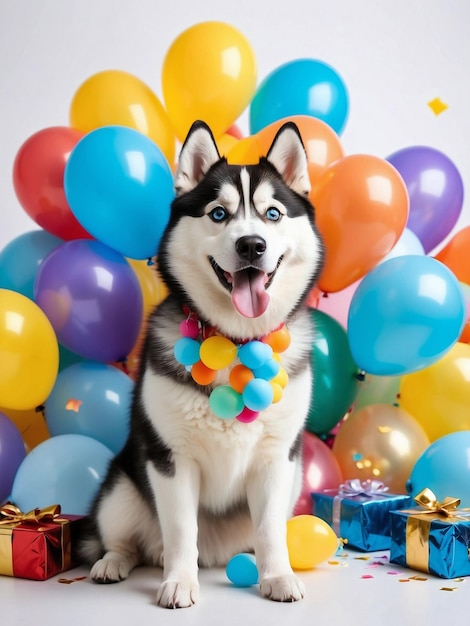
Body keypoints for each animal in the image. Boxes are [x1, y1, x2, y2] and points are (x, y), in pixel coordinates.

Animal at [80, 120, 324, 604]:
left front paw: (277, 576)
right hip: (121, 487)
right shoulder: (171, 458)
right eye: (217, 214)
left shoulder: (277, 461)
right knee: (124, 540)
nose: (252, 245)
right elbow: (180, 529)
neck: (235, 341)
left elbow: (270, 529)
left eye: (273, 214)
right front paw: (178, 581)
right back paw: (114, 562)